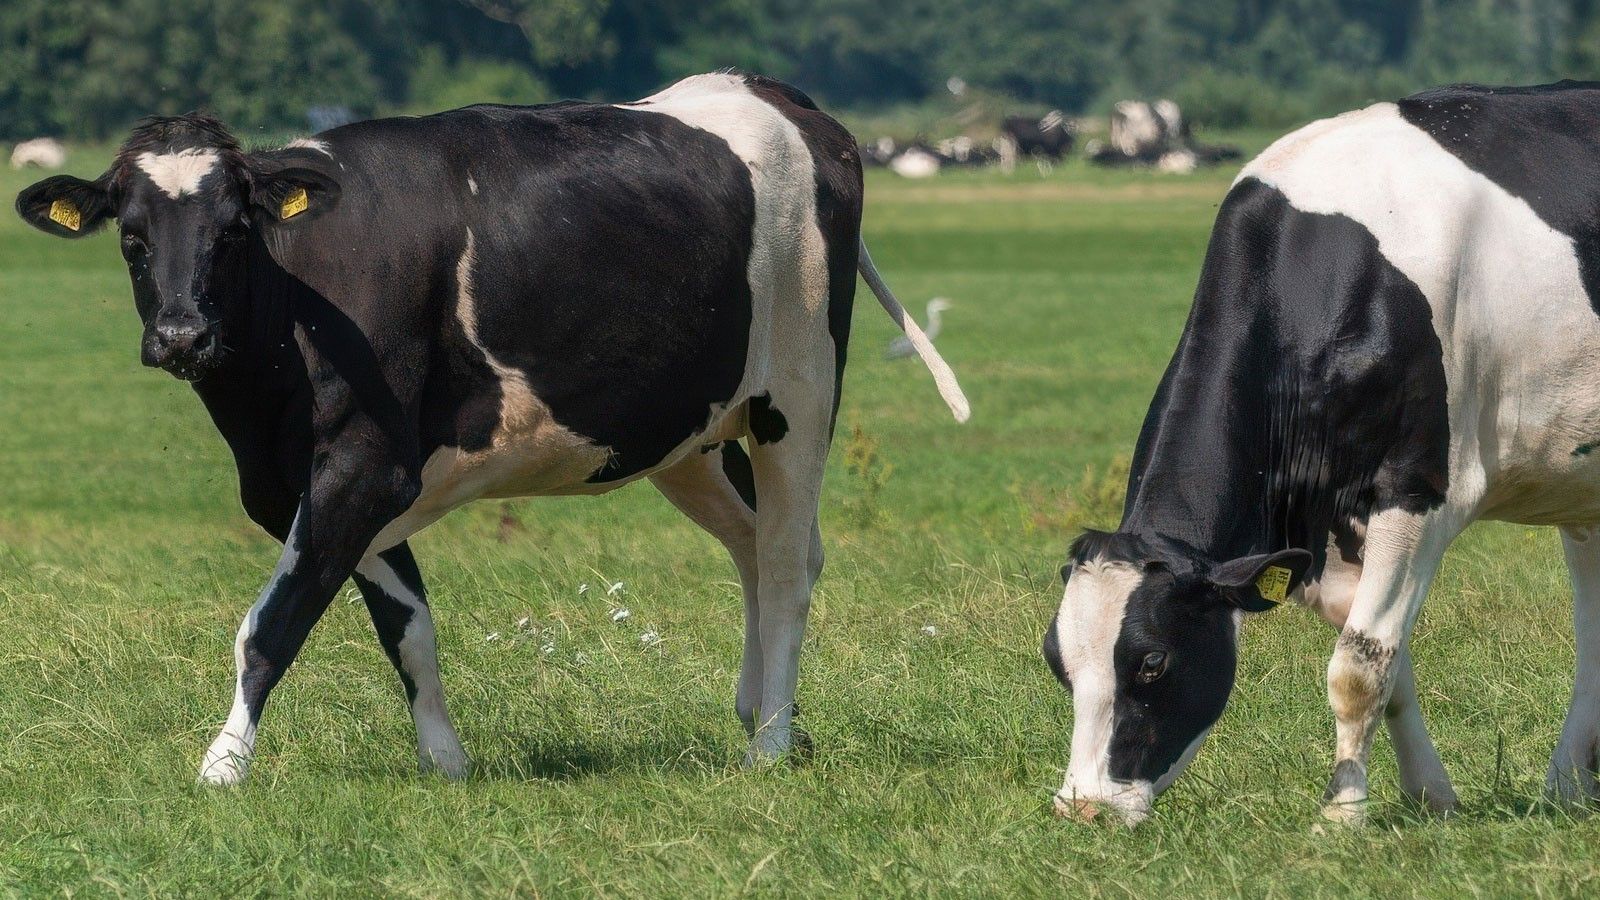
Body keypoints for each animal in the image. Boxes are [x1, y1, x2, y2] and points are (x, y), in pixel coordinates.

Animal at [15, 72, 970, 785]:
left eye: (231, 231)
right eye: (132, 239)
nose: (181, 336)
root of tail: (774, 94)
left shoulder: (363, 465)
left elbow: (272, 623)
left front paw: (222, 767)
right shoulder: (322, 484)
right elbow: (407, 627)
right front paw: (446, 763)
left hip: (798, 391)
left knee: (786, 561)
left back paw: (768, 743)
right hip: (691, 429)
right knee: (755, 544)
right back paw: (772, 715)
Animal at [1043, 81, 1600, 826]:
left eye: (1153, 662)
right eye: (1058, 661)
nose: (1084, 809)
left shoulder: (1414, 490)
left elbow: (1359, 667)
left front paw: (1342, 813)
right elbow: (1391, 664)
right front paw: (1431, 797)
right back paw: (1567, 788)